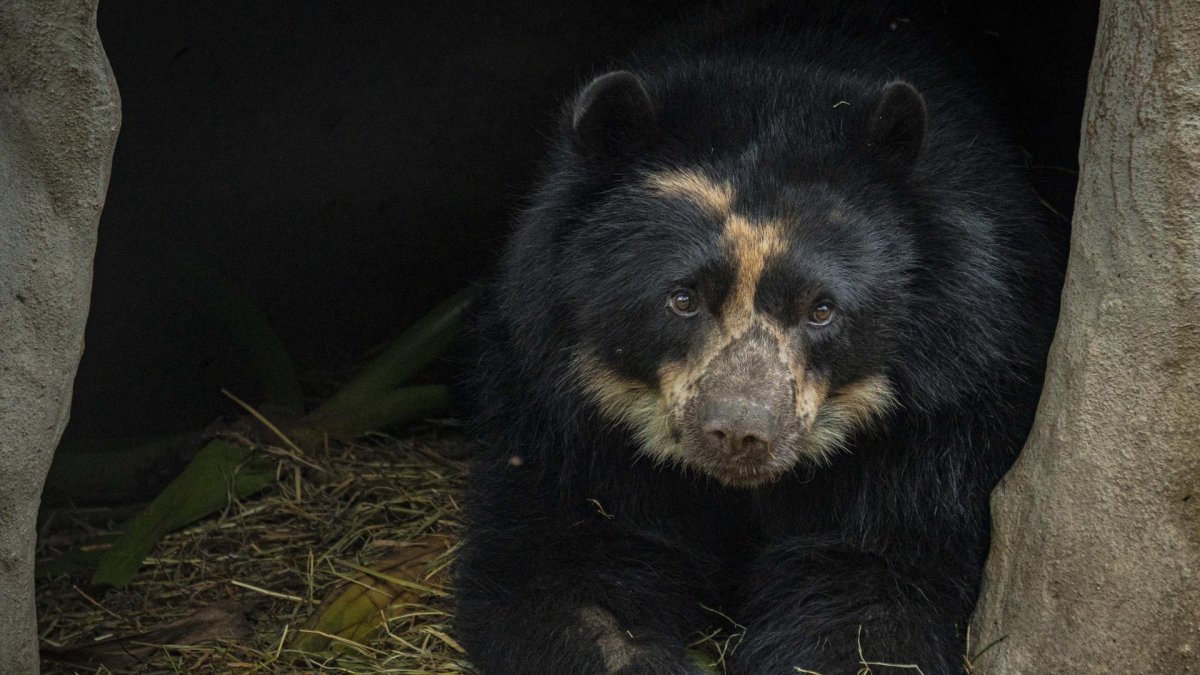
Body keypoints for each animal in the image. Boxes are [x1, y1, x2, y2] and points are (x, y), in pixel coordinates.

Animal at [453, 3, 1062, 674]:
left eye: (821, 310)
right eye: (682, 298)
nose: (741, 434)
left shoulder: (941, 426)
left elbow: (869, 587)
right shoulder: (562, 417)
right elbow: (566, 565)